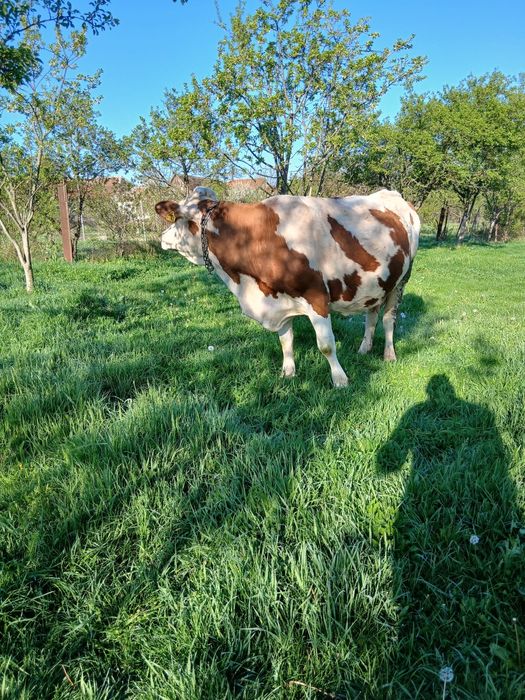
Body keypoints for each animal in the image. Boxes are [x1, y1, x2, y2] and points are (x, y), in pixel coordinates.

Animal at [156, 187, 419, 387]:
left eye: (177, 219)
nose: (162, 237)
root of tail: (392, 194)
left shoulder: (316, 297)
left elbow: (326, 345)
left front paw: (340, 380)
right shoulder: (279, 301)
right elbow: (286, 341)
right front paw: (288, 373)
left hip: (402, 279)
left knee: (388, 319)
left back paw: (389, 355)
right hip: (377, 284)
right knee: (371, 315)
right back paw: (364, 349)